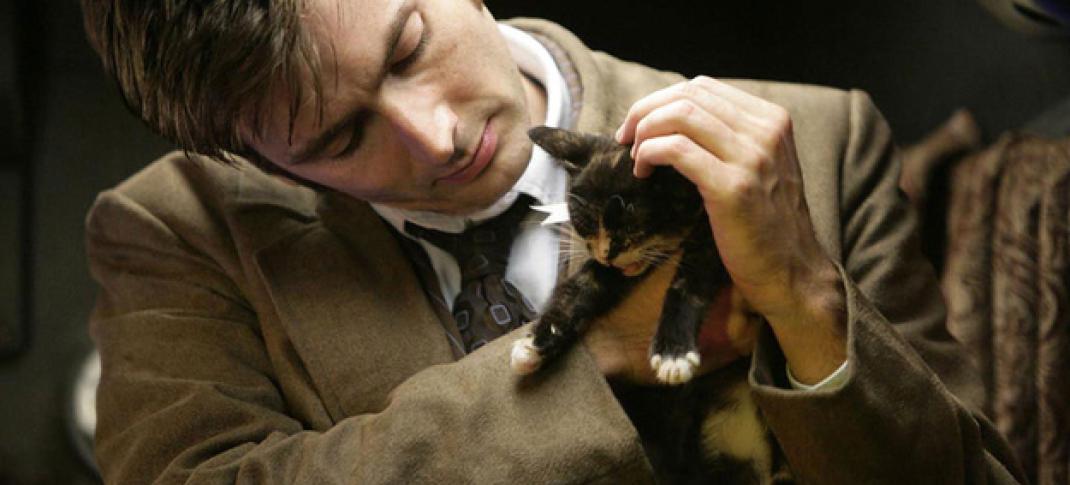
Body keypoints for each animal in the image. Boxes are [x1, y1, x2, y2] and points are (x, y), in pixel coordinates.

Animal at [509, 126, 796, 481]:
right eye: (585, 221)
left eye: (633, 222)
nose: (608, 252)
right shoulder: (615, 269)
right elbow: (584, 284)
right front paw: (536, 343)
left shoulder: (715, 238)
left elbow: (687, 284)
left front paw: (673, 353)